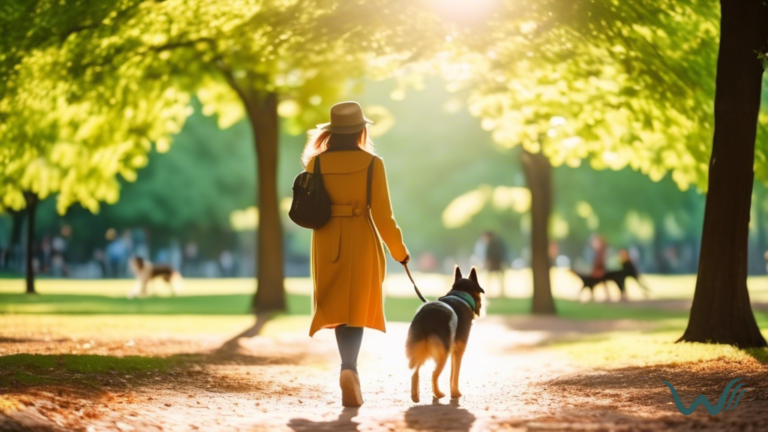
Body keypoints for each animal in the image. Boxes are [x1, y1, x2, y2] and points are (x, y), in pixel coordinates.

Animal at [404, 264, 484, 404]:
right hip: (443, 353)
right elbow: (455, 375)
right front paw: (455, 393)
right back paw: (438, 394)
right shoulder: (458, 352)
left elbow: (452, 374)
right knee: (434, 374)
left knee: (414, 372)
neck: (461, 295)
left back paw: (415, 396)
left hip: (420, 348)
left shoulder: (453, 351)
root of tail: (427, 318)